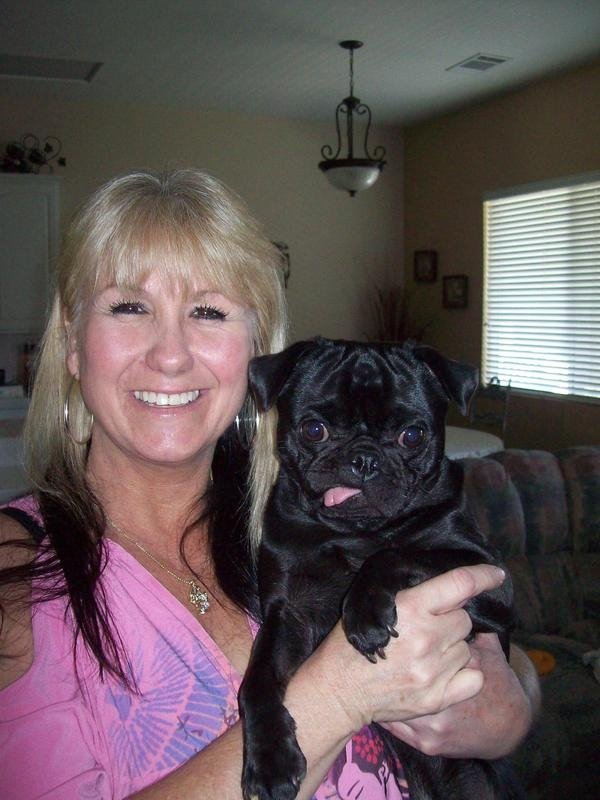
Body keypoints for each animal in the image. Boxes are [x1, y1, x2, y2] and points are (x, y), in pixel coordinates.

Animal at [239, 337, 522, 800]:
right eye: (314, 429)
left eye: (412, 435)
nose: (365, 458)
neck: (355, 534)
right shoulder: (289, 614)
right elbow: (258, 681)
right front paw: (269, 761)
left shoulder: (494, 581)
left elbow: (395, 555)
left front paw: (365, 612)